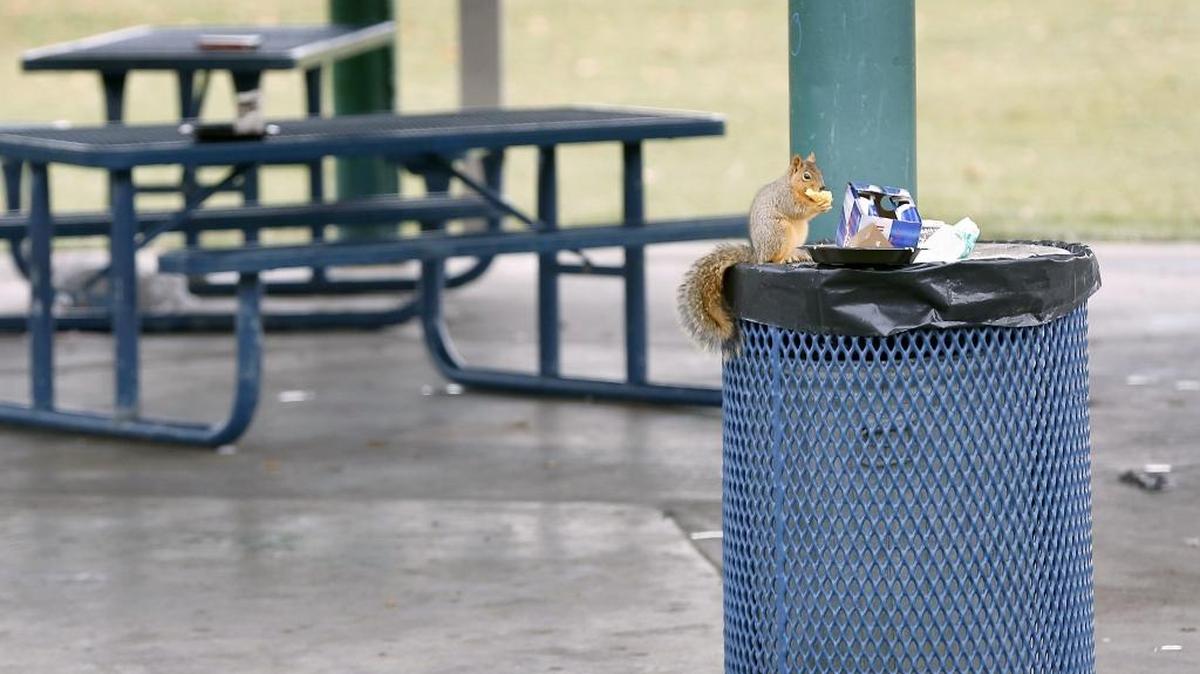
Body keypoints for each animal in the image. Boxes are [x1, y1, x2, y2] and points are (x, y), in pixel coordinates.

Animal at [676, 152, 832, 354]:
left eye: (820, 172)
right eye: (806, 176)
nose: (822, 188)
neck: (791, 186)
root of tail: (757, 254)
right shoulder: (785, 199)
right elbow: (798, 209)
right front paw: (818, 205)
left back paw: (798, 253)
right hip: (778, 231)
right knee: (772, 259)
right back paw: (785, 258)